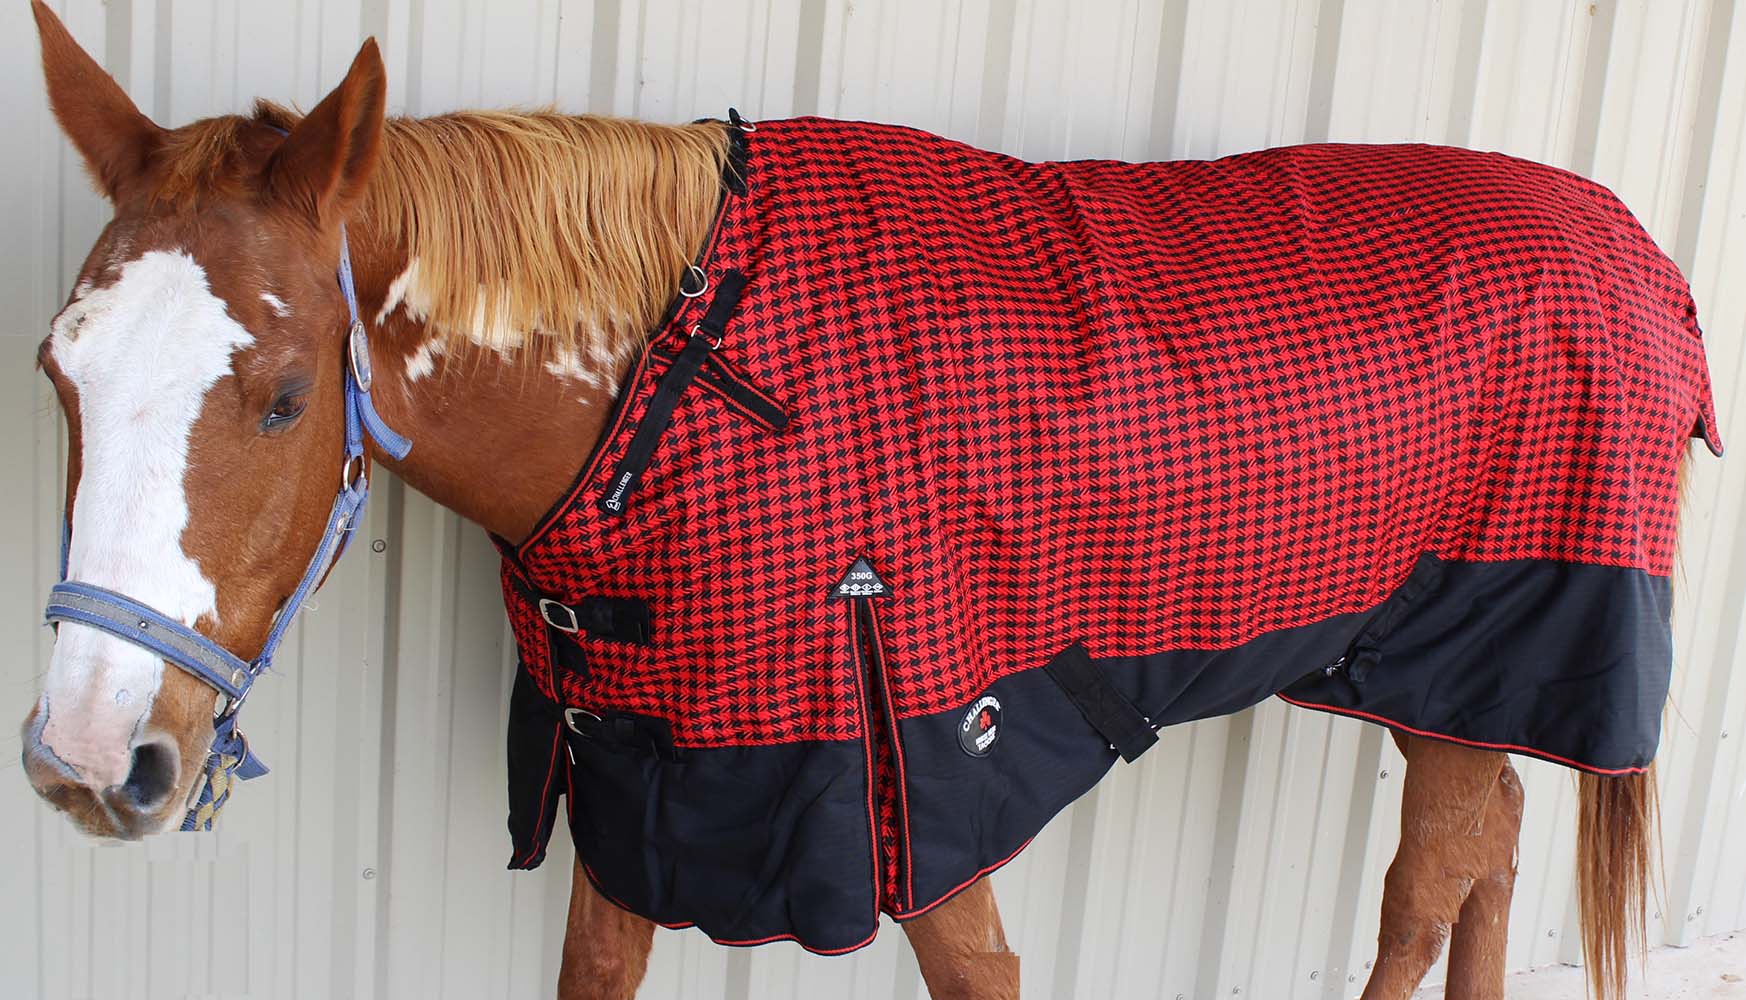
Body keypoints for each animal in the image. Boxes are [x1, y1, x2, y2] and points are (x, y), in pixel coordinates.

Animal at [19, 5, 1717, 998]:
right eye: (57, 372)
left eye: (282, 396)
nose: (86, 755)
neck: (685, 374)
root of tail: (1636, 246)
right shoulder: (642, 785)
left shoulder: (927, 812)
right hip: (1432, 678)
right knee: (1484, 855)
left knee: (1427, 884)